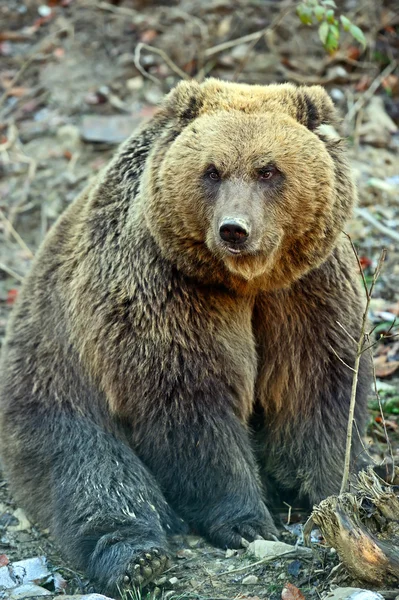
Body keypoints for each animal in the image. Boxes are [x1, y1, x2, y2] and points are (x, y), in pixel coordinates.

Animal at [0, 78, 370, 596]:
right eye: (212, 170)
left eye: (268, 170)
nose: (235, 229)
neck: (245, 283)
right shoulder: (166, 291)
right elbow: (191, 405)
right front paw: (246, 522)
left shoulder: (304, 292)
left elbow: (318, 389)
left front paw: (341, 493)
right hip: (51, 382)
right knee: (94, 472)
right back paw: (138, 557)